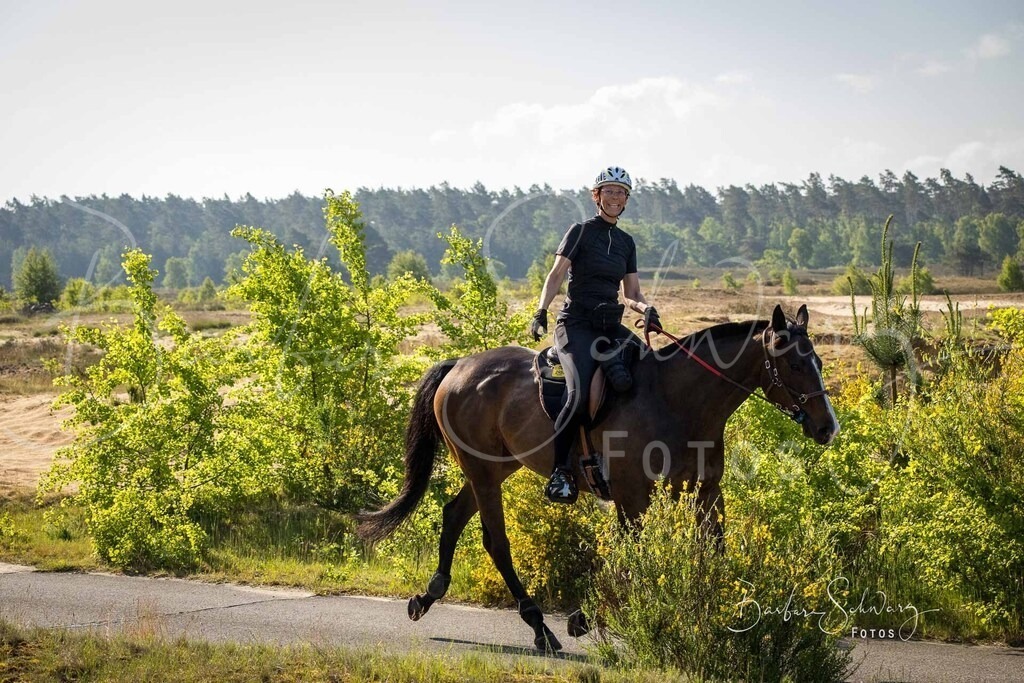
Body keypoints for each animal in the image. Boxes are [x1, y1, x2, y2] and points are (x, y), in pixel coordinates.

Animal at [355, 304, 839, 652]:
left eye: (816, 360)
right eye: (796, 366)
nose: (827, 428)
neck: (677, 401)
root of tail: (457, 367)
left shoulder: (706, 493)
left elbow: (713, 551)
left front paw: (727, 615)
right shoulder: (632, 495)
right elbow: (630, 554)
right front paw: (586, 617)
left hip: (496, 467)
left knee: (454, 514)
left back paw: (428, 595)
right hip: (483, 471)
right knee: (496, 542)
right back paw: (539, 627)